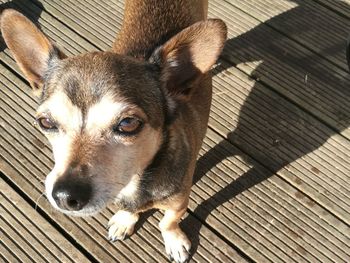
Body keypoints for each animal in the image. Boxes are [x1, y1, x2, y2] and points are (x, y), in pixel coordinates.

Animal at [0, 1, 227, 262]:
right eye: (46, 122)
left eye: (128, 124)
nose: (65, 196)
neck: (136, 180)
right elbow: (129, 210)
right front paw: (125, 220)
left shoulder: (179, 202)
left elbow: (168, 222)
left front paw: (174, 241)